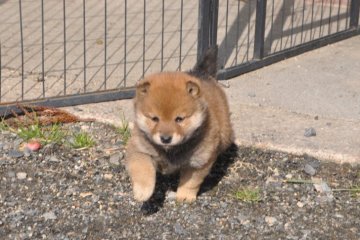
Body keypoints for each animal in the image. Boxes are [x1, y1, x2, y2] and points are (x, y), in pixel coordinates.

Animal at [126, 47, 233, 202]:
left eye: (179, 119)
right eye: (155, 119)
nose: (165, 138)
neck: (170, 151)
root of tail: (202, 74)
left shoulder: (199, 160)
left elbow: (191, 181)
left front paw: (185, 196)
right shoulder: (139, 149)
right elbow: (143, 170)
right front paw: (142, 191)